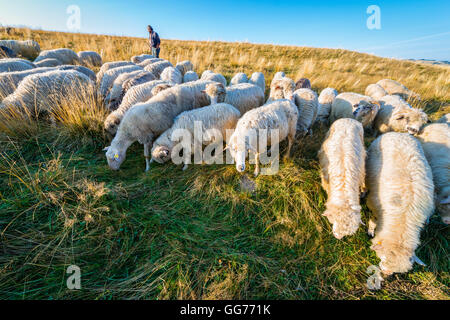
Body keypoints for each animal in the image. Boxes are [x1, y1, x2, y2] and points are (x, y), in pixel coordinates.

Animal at [368, 132, 434, 276]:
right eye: (383, 258)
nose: (386, 273)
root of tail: (399, 133)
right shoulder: (374, 204)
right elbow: (373, 220)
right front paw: (370, 230)